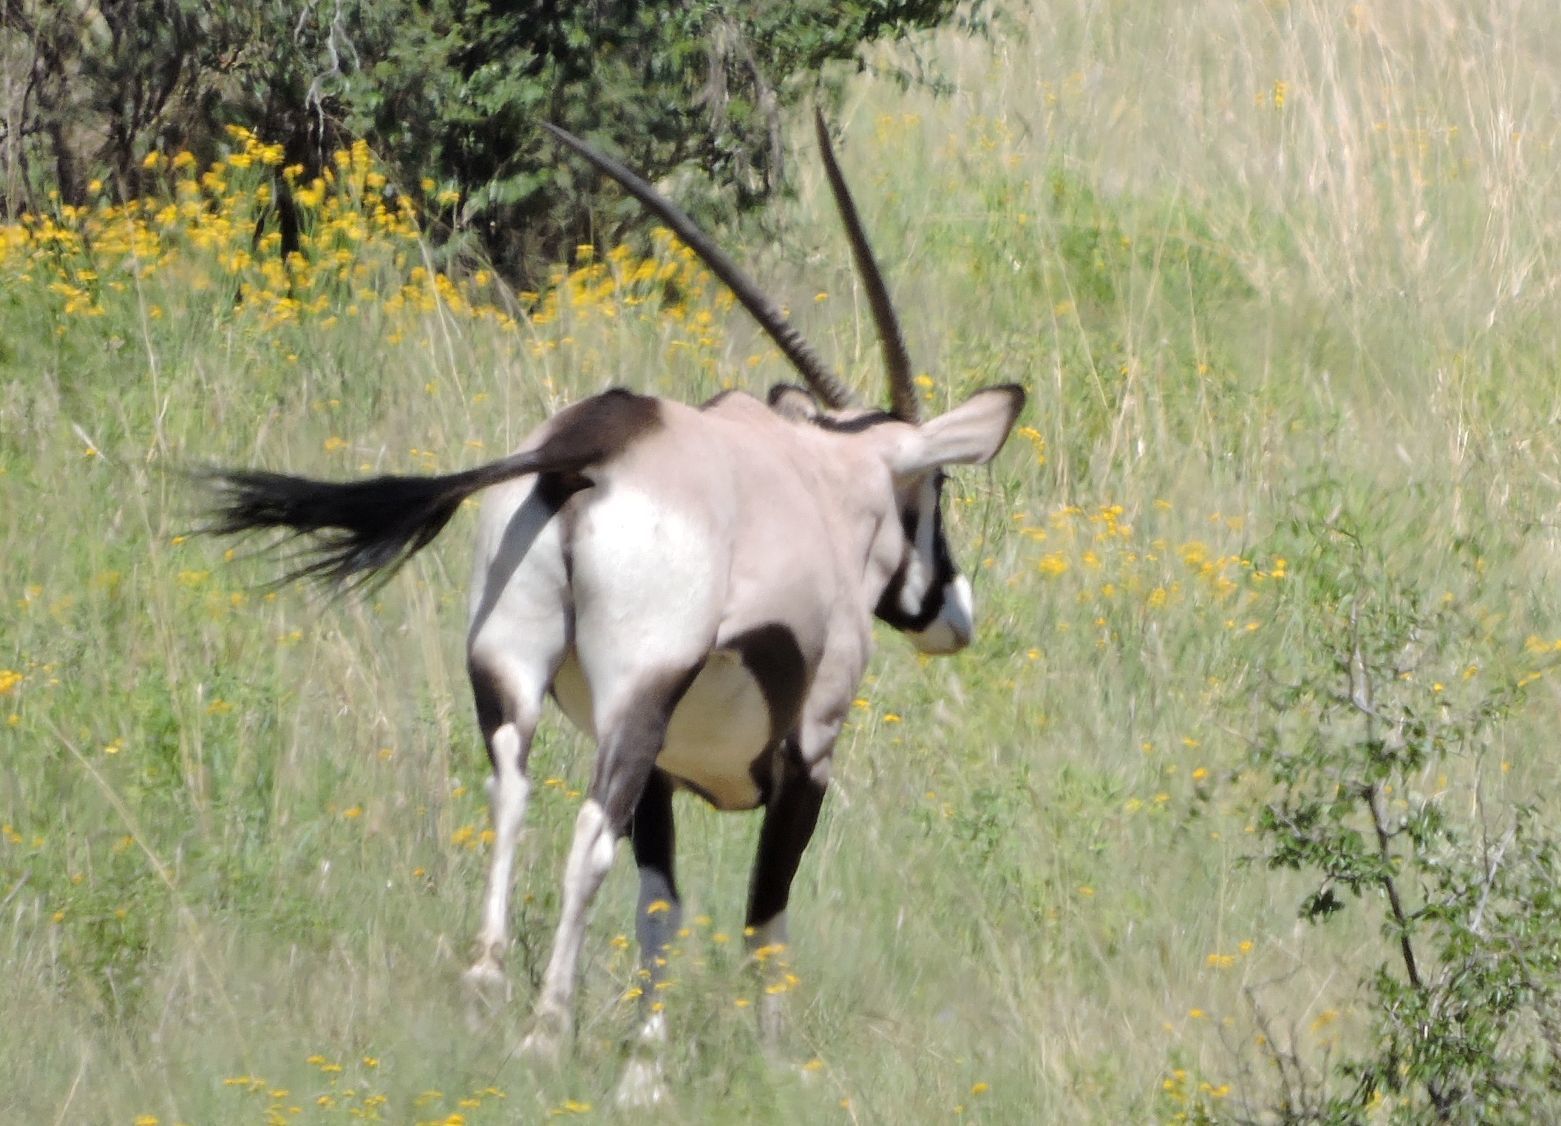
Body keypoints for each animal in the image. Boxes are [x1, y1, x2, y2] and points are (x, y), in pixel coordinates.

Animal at [204, 114, 1024, 1080]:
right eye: (935, 490)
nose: (954, 613)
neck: (825, 481)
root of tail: (591, 445)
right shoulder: (807, 754)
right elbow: (762, 917)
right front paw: (770, 1058)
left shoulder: (666, 769)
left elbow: (661, 904)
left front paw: (647, 1063)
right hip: (638, 692)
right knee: (587, 839)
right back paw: (544, 1025)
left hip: (512, 671)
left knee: (511, 790)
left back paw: (486, 984)